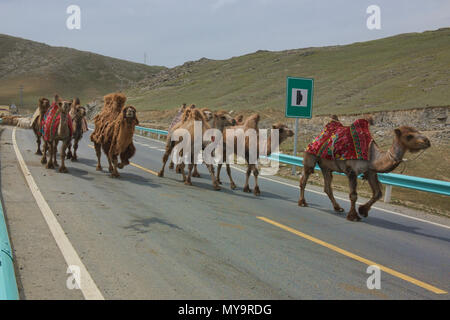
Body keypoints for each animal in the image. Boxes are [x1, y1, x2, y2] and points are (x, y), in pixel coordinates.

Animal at [298, 116, 430, 221]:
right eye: (409, 136)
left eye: (418, 131)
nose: (427, 141)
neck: (372, 156)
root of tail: (316, 138)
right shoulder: (352, 171)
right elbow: (353, 195)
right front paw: (353, 216)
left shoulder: (370, 172)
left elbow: (378, 193)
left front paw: (363, 210)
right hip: (310, 157)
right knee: (304, 179)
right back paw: (302, 202)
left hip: (326, 166)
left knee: (327, 186)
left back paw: (338, 208)